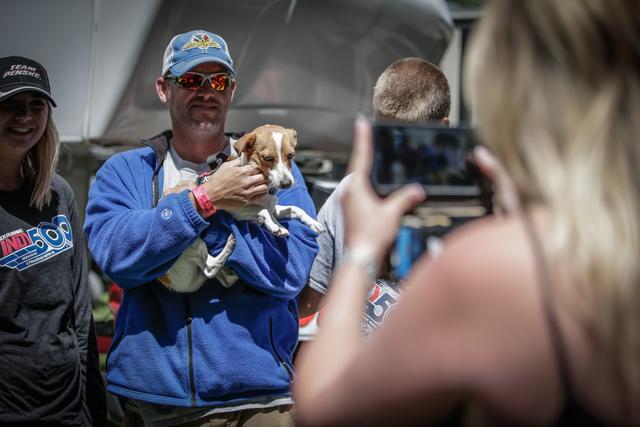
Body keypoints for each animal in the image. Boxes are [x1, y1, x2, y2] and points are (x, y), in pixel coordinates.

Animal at [159, 124, 325, 293]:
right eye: (267, 158)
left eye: (291, 155)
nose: (286, 184)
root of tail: (165, 279)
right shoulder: (238, 210)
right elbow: (263, 211)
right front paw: (274, 227)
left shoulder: (273, 208)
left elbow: (294, 209)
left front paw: (311, 223)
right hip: (193, 244)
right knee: (209, 267)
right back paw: (230, 244)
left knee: (223, 279)